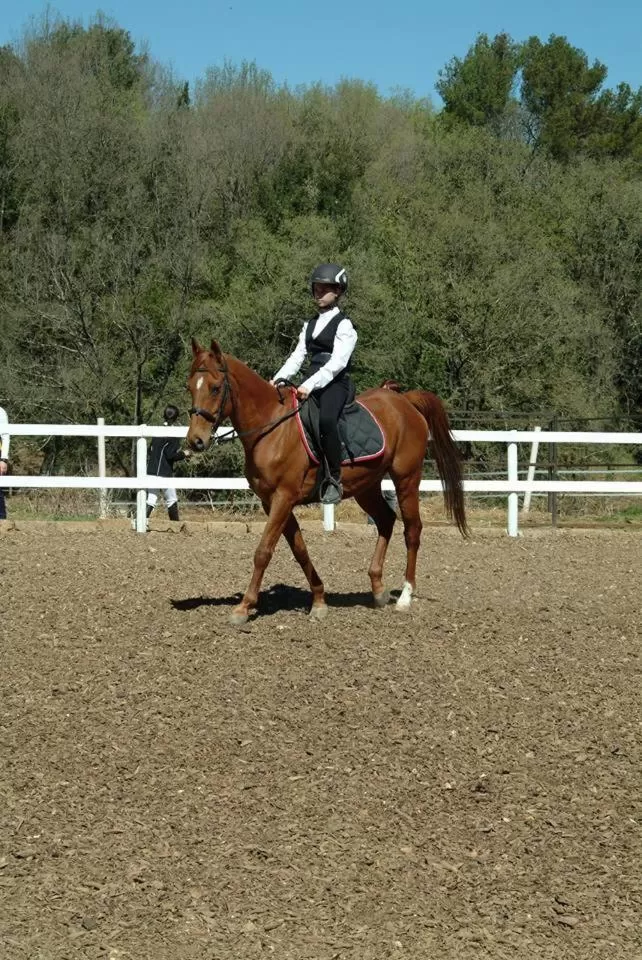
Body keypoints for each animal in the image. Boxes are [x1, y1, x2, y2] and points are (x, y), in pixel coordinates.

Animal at [187, 339, 468, 625]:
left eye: (215, 387)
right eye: (189, 387)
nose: (195, 441)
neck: (270, 428)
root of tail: (405, 401)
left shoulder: (283, 498)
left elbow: (263, 551)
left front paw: (243, 607)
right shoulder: (272, 502)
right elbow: (299, 550)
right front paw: (319, 599)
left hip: (406, 479)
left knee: (412, 530)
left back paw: (405, 597)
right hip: (366, 487)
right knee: (386, 520)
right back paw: (378, 589)